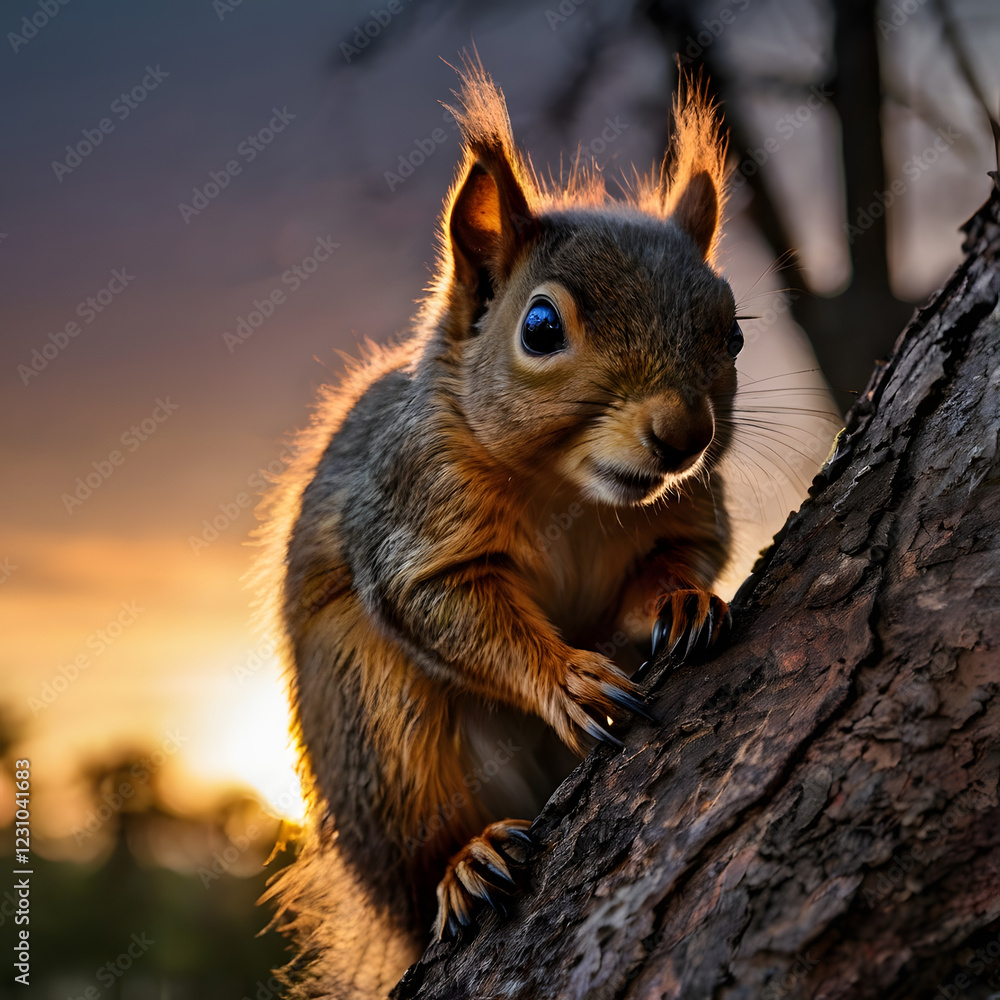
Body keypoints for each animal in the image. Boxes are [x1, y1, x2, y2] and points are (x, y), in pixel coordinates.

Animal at [259, 60, 742, 999]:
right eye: (541, 326)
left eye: (733, 334)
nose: (683, 435)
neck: (574, 495)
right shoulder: (415, 515)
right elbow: (450, 607)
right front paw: (567, 680)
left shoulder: (694, 505)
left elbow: (686, 556)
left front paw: (682, 601)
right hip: (376, 726)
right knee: (417, 858)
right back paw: (465, 864)